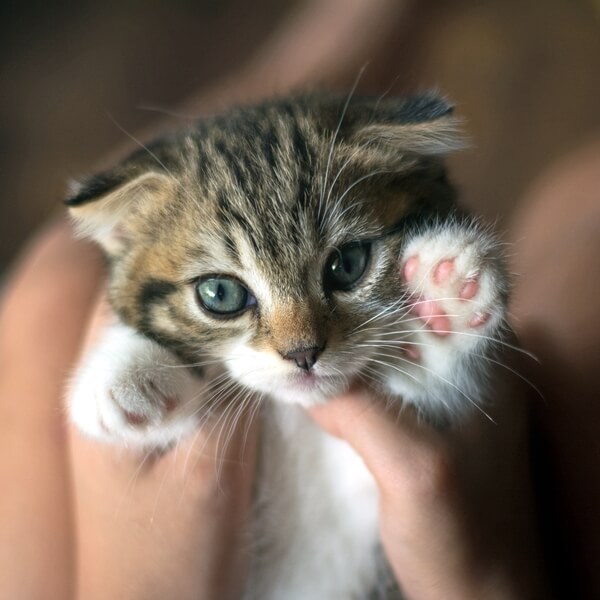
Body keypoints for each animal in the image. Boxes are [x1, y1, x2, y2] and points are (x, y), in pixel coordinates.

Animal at [67, 91, 506, 596]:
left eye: (347, 264)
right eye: (220, 293)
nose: (303, 353)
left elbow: (436, 392)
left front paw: (445, 302)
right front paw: (125, 375)